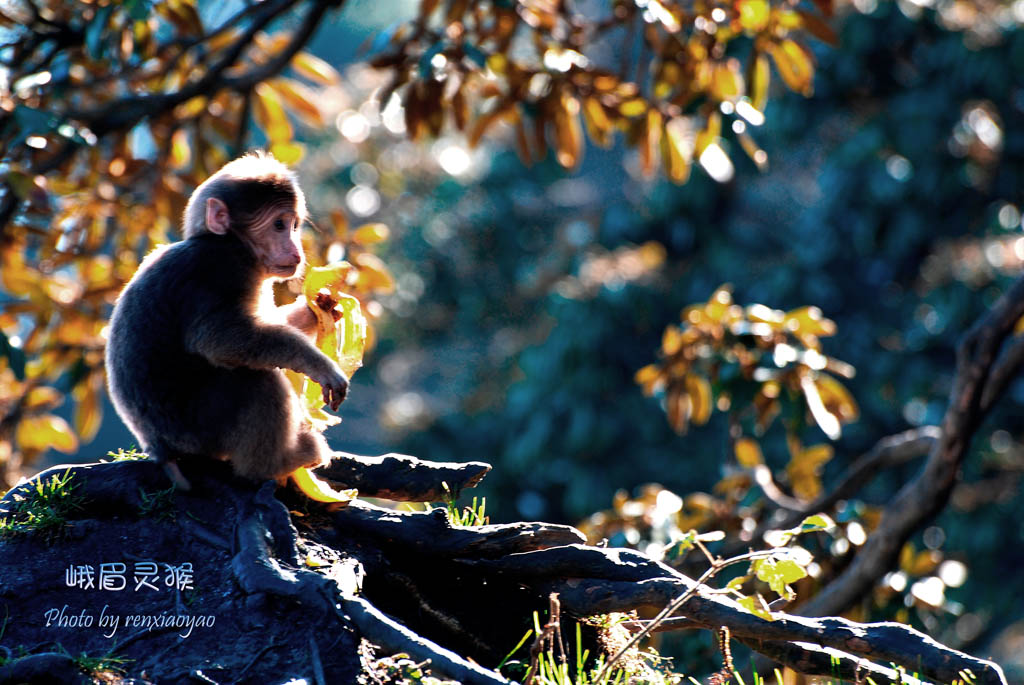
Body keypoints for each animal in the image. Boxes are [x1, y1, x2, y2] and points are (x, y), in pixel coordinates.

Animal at [105, 153, 350, 485]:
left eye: (294, 225)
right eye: (278, 225)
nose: (296, 250)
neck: (232, 244)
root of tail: (159, 448)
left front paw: (316, 310)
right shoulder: (221, 269)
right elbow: (220, 339)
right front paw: (318, 364)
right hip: (201, 431)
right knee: (256, 380)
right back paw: (274, 465)